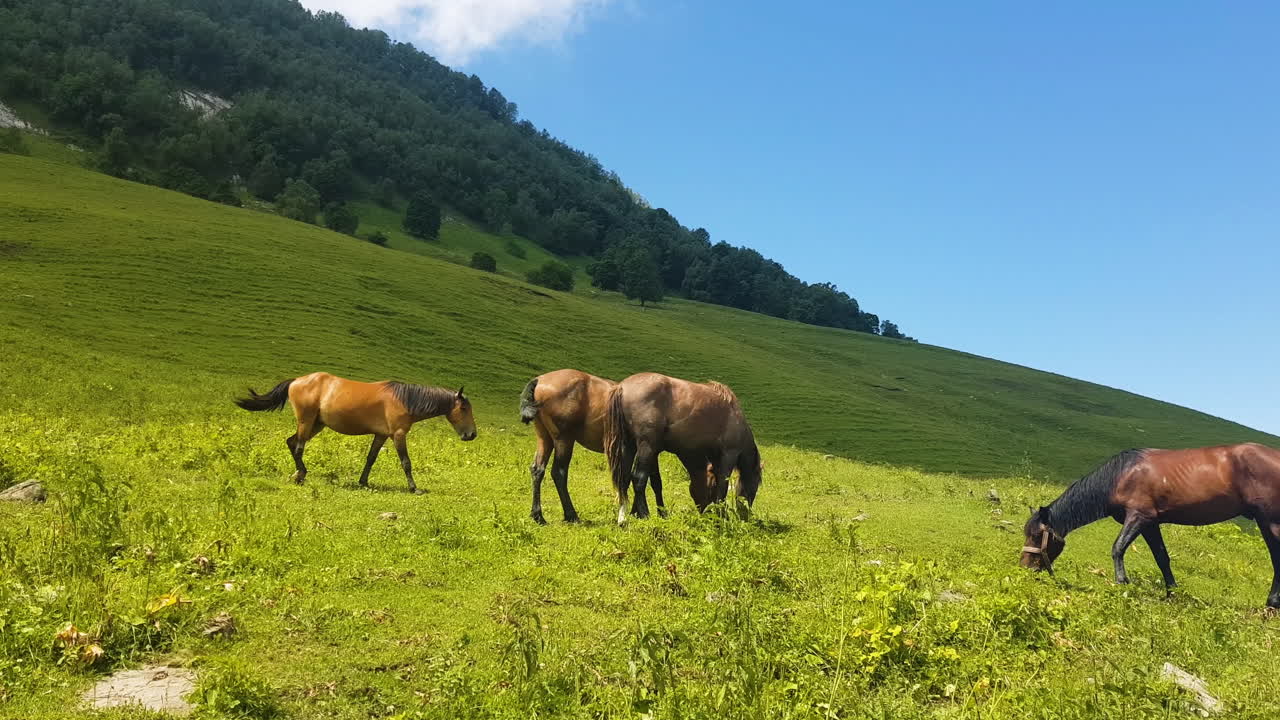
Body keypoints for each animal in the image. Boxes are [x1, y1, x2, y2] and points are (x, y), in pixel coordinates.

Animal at [235, 372, 476, 493]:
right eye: (464, 408)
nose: (471, 435)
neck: (406, 399)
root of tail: (296, 381)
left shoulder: (381, 435)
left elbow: (370, 458)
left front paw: (363, 482)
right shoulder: (398, 434)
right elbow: (406, 463)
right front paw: (414, 488)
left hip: (316, 424)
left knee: (291, 442)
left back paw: (297, 474)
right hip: (307, 420)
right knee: (299, 446)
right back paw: (301, 475)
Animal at [518, 369, 666, 524]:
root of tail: (540, 380)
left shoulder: (646, 450)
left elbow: (649, 480)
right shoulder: (648, 448)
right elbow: (650, 480)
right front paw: (653, 513)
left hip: (544, 438)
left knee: (537, 470)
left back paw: (538, 516)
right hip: (564, 439)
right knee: (559, 472)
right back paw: (571, 515)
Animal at [603, 372, 762, 526]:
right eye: (755, 487)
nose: (746, 516)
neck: (734, 414)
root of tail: (622, 388)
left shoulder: (654, 452)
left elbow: (656, 483)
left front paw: (655, 513)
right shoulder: (728, 455)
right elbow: (722, 488)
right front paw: (722, 518)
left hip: (630, 446)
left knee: (624, 479)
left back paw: (623, 518)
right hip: (645, 445)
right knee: (638, 478)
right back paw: (644, 514)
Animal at [1020, 443, 1280, 608]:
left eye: (1037, 536)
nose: (1024, 567)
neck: (1121, 476)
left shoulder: (1139, 517)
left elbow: (1118, 548)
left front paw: (1122, 582)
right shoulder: (1150, 524)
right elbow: (1162, 558)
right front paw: (1172, 593)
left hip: (1269, 521)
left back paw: (1271, 604)